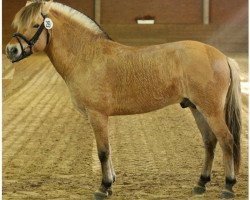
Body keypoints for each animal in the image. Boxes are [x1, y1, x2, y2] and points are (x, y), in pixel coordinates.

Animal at [5, 1, 240, 198]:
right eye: (18, 24)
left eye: (36, 24)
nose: (11, 50)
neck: (88, 56)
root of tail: (221, 56)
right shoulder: (98, 117)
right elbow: (107, 151)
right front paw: (110, 183)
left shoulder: (97, 115)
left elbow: (102, 152)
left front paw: (104, 187)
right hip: (196, 108)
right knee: (210, 142)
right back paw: (201, 184)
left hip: (211, 110)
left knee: (226, 140)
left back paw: (228, 186)